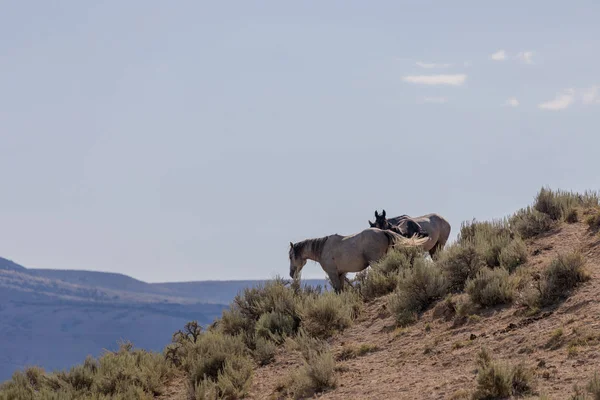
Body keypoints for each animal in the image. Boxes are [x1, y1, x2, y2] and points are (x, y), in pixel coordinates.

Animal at [290, 228, 426, 290]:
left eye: (291, 256)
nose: (291, 274)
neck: (323, 248)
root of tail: (382, 231)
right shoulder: (341, 274)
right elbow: (342, 290)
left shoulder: (332, 273)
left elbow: (337, 290)